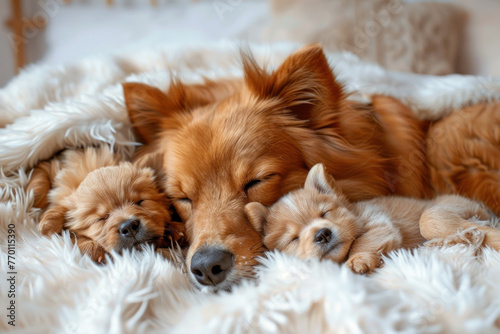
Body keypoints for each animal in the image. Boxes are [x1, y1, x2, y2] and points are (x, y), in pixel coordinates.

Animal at [246, 164, 500, 274]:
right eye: (294, 239)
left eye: (325, 214)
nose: (322, 234)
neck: (355, 213)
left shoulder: (379, 224)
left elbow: (361, 242)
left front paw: (359, 260)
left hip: (440, 212)